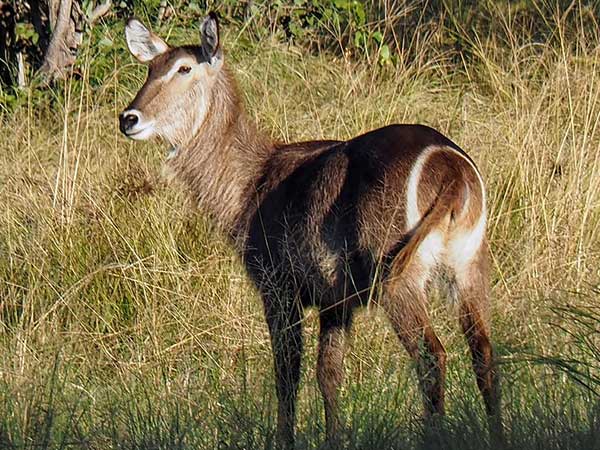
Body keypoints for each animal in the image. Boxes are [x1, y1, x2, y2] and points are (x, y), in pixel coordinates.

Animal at [118, 13, 502, 446]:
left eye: (184, 68)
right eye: (150, 68)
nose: (129, 118)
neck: (251, 184)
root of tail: (451, 166)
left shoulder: (278, 289)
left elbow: (287, 375)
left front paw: (287, 439)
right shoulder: (336, 301)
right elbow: (328, 375)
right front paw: (335, 439)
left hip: (399, 278)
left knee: (432, 356)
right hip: (469, 266)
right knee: (484, 354)